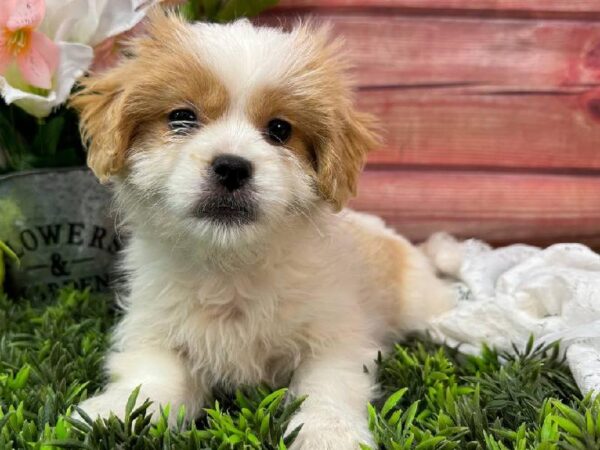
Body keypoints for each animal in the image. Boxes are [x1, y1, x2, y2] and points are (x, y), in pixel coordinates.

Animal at [70, 10, 454, 450]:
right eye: (182, 117)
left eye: (280, 130)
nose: (232, 167)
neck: (230, 264)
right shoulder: (153, 329)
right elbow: (153, 377)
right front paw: (116, 413)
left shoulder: (336, 338)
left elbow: (329, 387)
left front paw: (329, 431)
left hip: (420, 300)